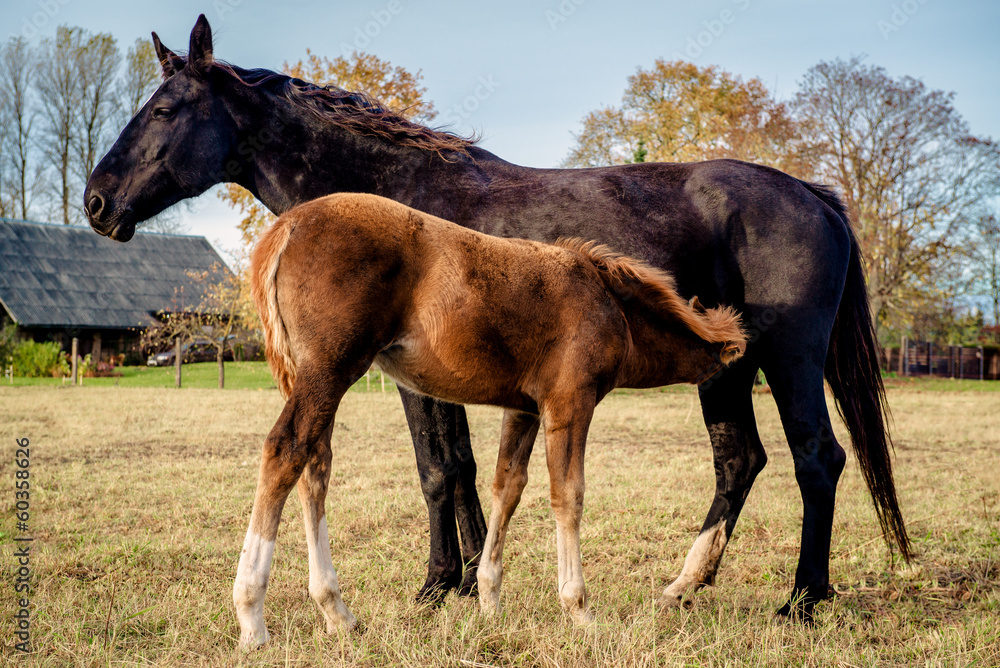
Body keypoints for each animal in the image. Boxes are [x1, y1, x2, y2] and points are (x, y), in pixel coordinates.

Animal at [237, 191, 746, 644]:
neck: (612, 307)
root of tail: (288, 225)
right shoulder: (570, 403)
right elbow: (568, 495)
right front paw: (579, 610)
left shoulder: (523, 409)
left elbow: (507, 487)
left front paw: (489, 602)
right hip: (330, 370)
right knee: (285, 451)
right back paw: (252, 617)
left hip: (308, 376)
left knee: (314, 466)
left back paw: (336, 612)